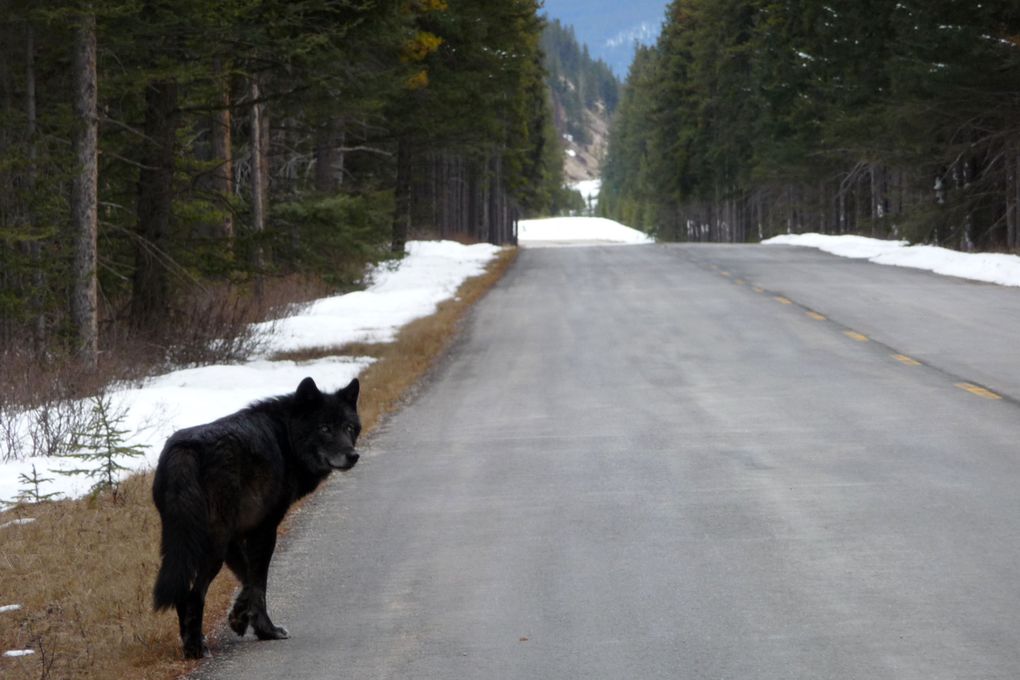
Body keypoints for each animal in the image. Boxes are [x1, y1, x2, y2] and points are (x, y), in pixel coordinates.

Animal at [148, 377, 361, 660]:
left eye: (349, 427)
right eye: (324, 428)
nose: (353, 455)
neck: (286, 439)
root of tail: (185, 450)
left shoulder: (236, 538)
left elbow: (248, 579)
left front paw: (241, 618)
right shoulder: (265, 530)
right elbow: (259, 584)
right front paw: (267, 631)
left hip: (185, 545)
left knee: (184, 590)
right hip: (211, 550)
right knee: (193, 594)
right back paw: (195, 649)